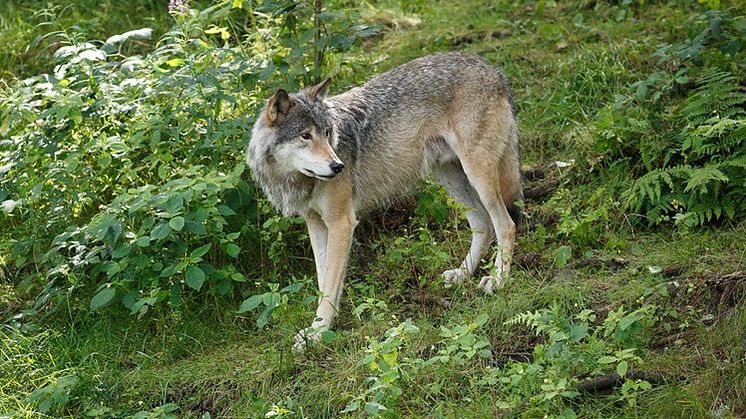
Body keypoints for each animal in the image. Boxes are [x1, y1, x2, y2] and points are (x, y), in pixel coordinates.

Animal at [247, 51, 520, 352]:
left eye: (327, 133)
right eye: (305, 135)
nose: (338, 166)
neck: (293, 180)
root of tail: (491, 68)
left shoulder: (342, 222)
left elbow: (329, 282)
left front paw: (318, 333)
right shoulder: (316, 223)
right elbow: (324, 279)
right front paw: (318, 329)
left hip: (478, 175)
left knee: (506, 225)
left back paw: (498, 280)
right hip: (451, 178)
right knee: (483, 224)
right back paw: (462, 274)